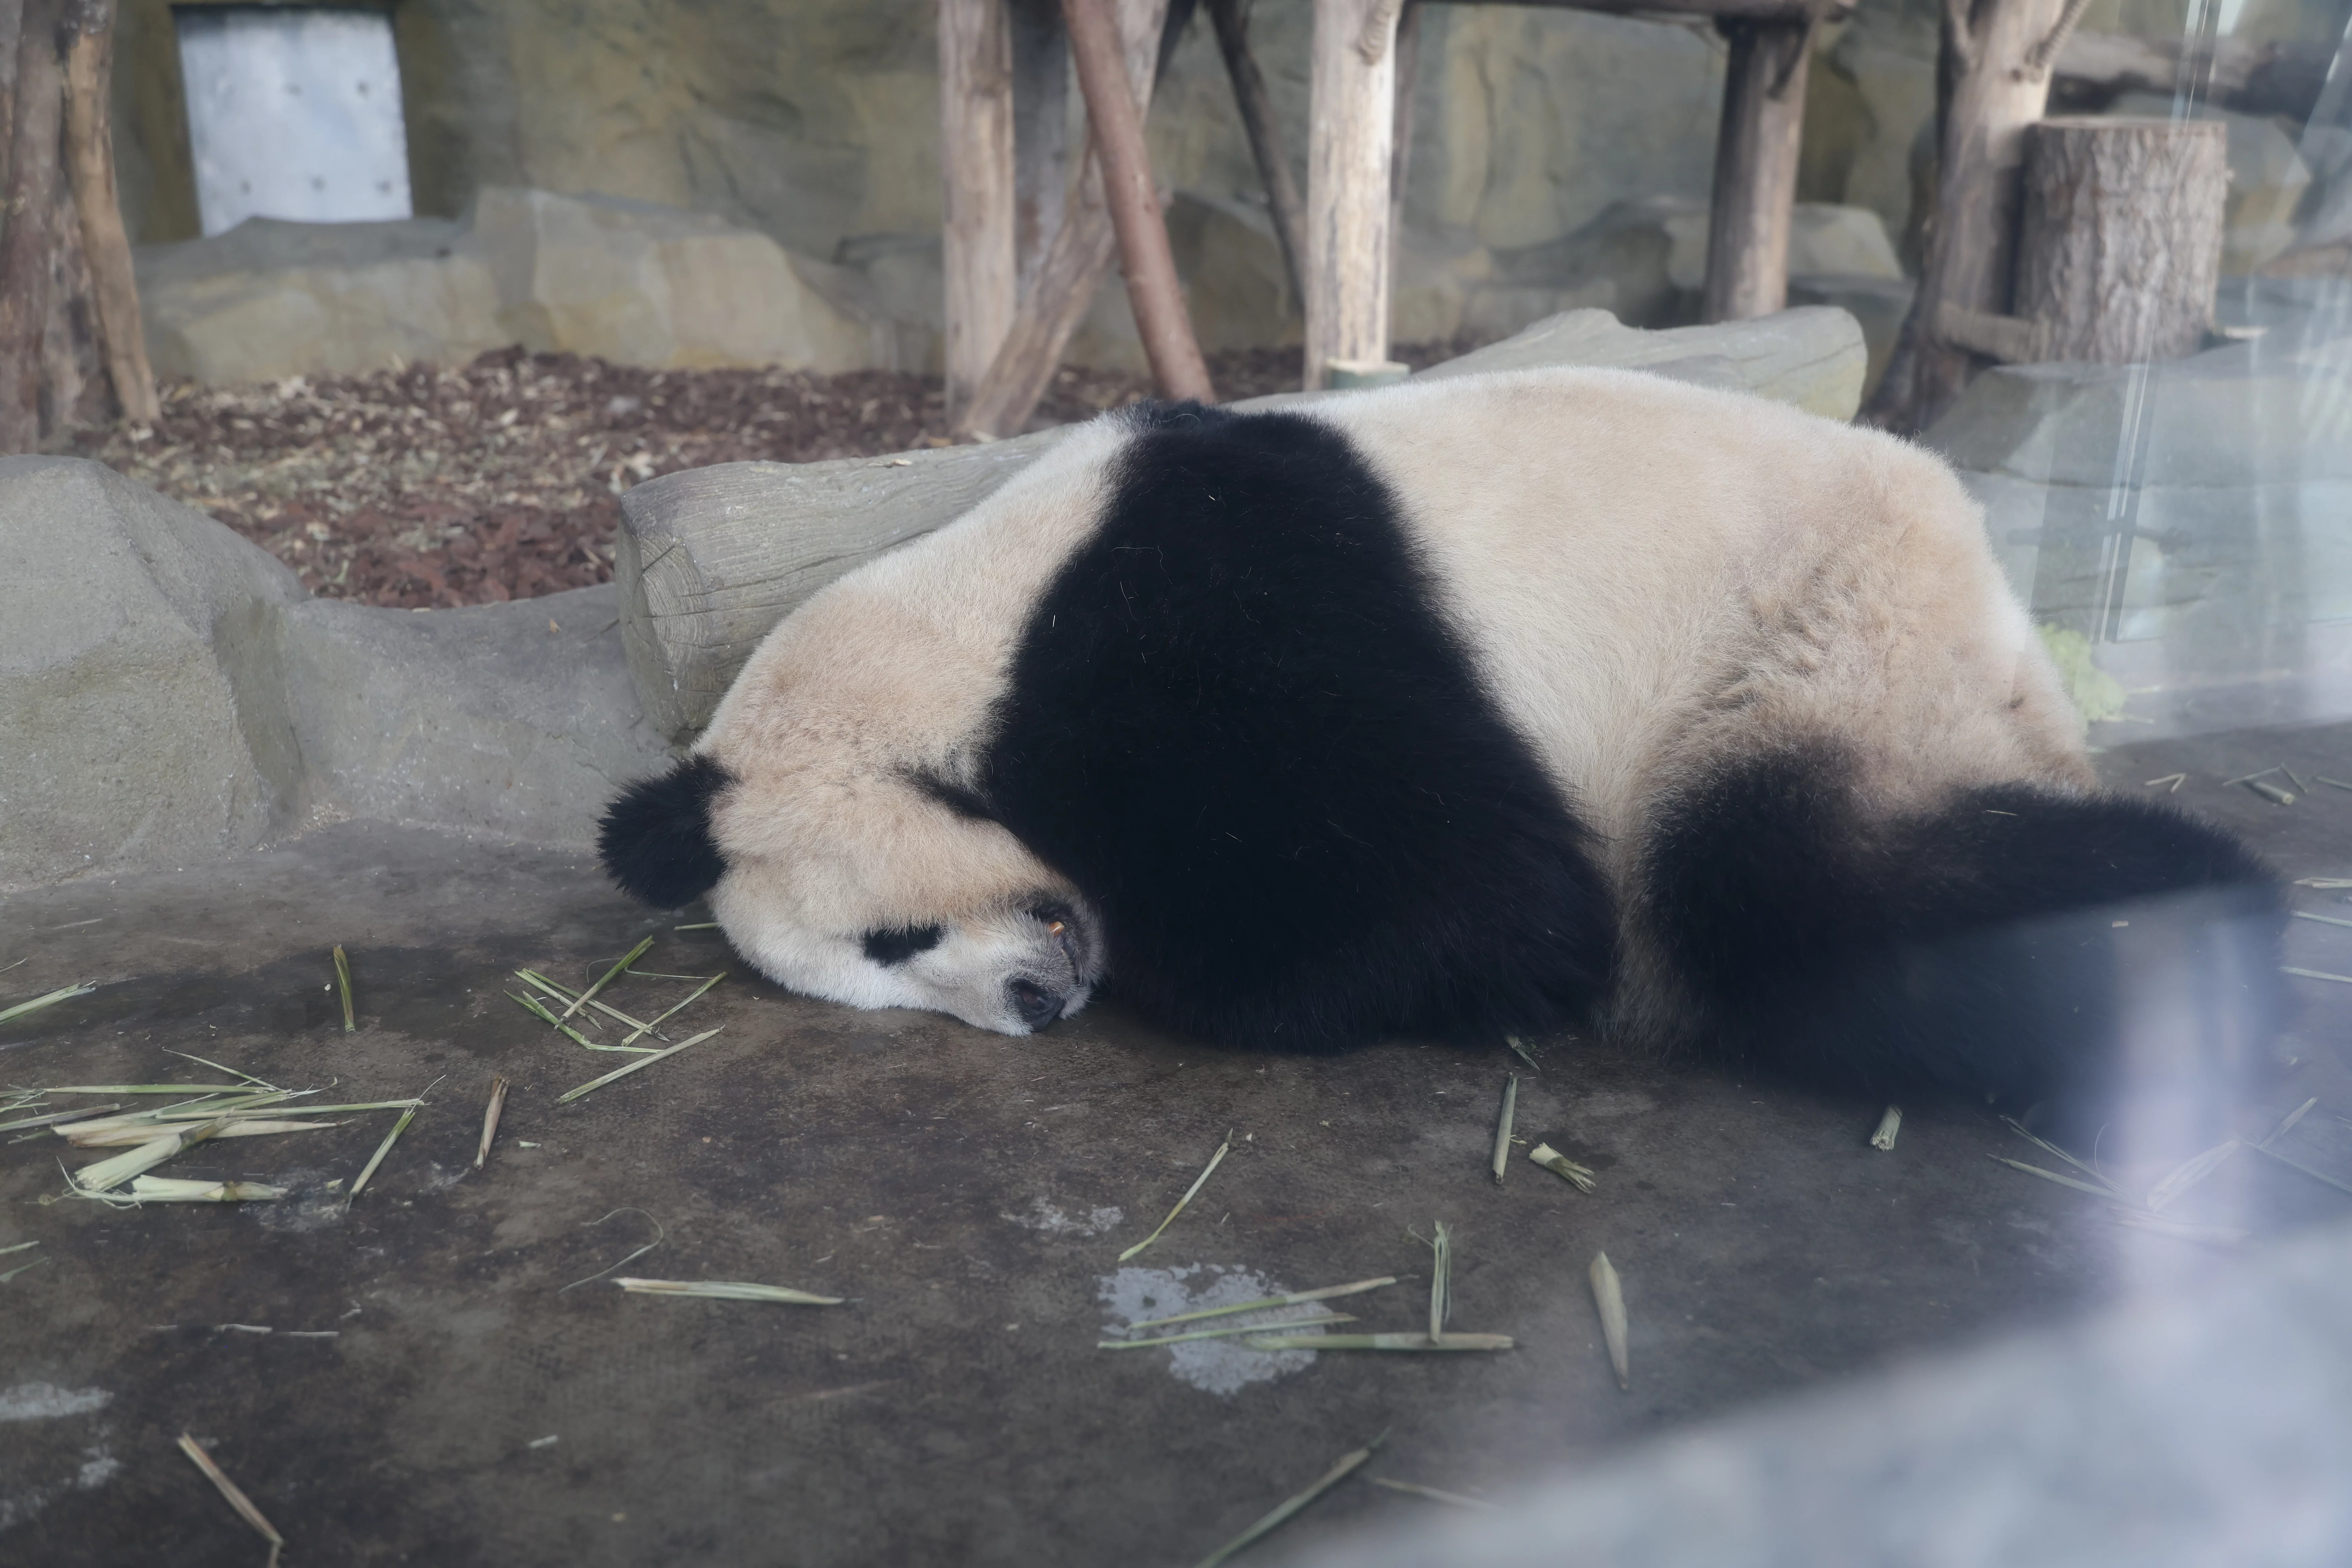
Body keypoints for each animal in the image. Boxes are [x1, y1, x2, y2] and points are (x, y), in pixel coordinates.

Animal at [598, 367, 2283, 1128]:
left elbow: (1478, 895)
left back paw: (2204, 932)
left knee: (1773, 872)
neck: (956, 635)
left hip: (1823, 631)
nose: (1032, 1003)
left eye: (889, 939)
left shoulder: (1223, 629)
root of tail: (2000, 609)